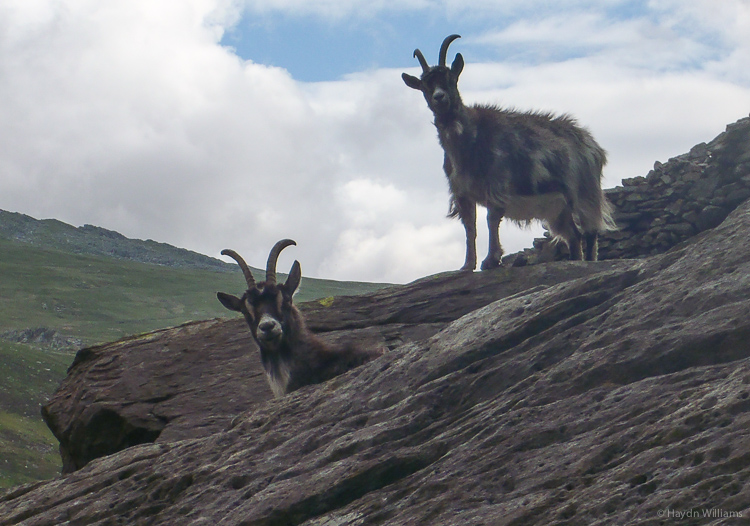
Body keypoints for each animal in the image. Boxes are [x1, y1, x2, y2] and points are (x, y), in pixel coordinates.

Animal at [402, 34, 615, 269]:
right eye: (424, 86)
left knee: (590, 231)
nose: (439, 97)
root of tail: (594, 146)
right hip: (557, 207)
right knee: (573, 235)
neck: (468, 140)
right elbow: (470, 227)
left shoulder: (497, 184)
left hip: (585, 191)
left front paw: (491, 260)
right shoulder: (463, 193)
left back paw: (589, 261)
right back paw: (574, 260)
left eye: (451, 79)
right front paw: (468, 265)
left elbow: (491, 220)